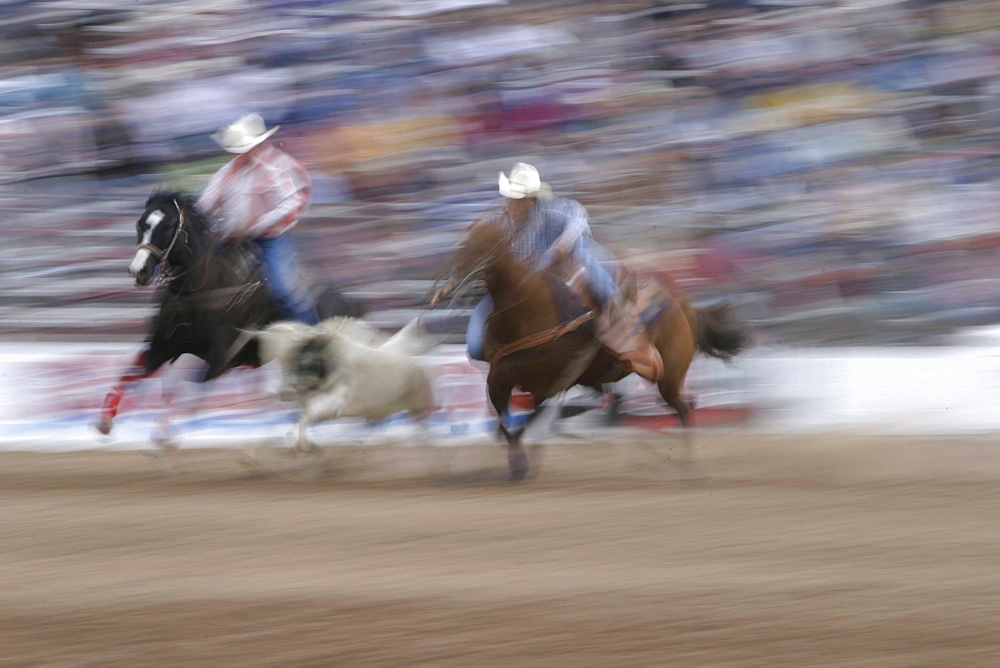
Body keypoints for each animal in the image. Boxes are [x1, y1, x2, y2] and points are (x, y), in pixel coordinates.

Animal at [94, 190, 364, 446]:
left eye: (169, 226)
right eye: (141, 224)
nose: (139, 271)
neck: (202, 286)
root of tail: (350, 303)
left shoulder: (221, 357)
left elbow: (191, 395)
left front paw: (166, 436)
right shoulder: (163, 345)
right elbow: (132, 375)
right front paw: (106, 422)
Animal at [438, 211, 752, 478]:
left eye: (482, 246)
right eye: (463, 242)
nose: (450, 284)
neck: (528, 310)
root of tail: (681, 304)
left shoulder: (548, 381)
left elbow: (524, 418)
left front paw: (522, 462)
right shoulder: (507, 379)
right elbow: (505, 420)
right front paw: (520, 460)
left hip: (669, 376)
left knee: (684, 408)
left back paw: (691, 464)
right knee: (639, 401)